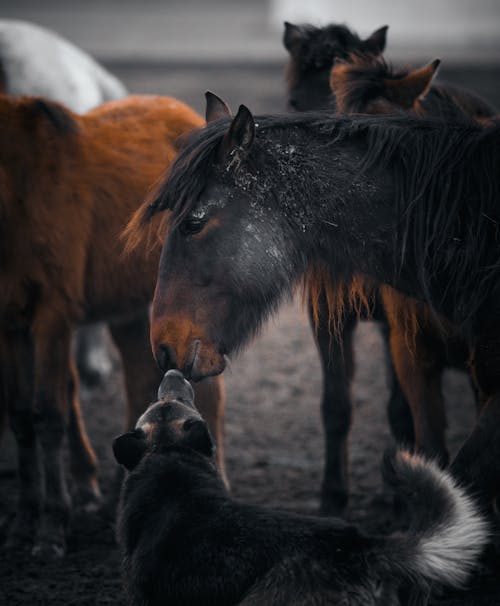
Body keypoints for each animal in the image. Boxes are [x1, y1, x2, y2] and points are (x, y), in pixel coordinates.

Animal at [0, 91, 225, 560]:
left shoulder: (52, 314)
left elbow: (49, 414)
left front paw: (50, 530)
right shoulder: (9, 320)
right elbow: (22, 416)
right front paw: (23, 525)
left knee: (209, 395)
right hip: (132, 312)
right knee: (141, 384)